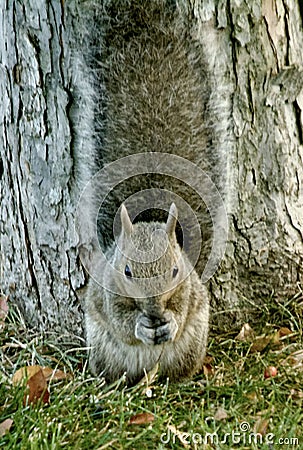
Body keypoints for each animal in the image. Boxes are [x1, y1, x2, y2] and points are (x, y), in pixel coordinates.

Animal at [69, 0, 229, 384]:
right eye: (127, 272)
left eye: (174, 271)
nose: (155, 312)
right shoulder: (108, 292)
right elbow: (120, 320)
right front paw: (142, 326)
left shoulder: (187, 290)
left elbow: (182, 310)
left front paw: (168, 322)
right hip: (102, 348)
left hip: (192, 345)